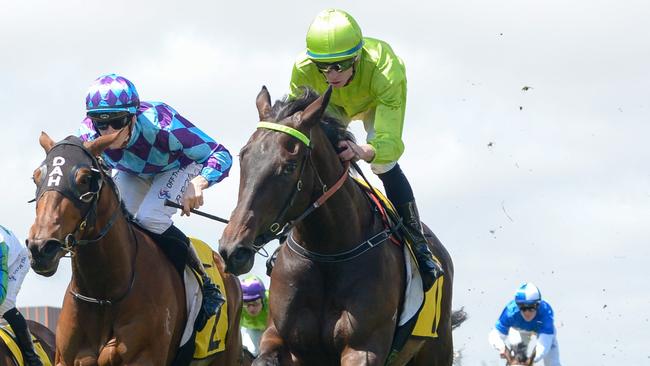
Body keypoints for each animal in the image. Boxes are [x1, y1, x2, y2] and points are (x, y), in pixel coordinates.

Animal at [218, 87, 456, 364]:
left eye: (289, 166)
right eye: (243, 156)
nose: (233, 250)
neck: (327, 252)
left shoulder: (363, 347)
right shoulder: (278, 337)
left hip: (436, 348)